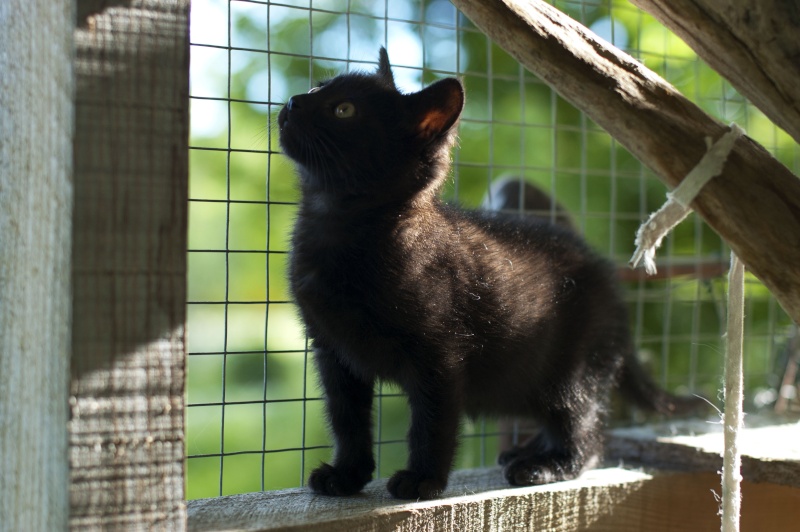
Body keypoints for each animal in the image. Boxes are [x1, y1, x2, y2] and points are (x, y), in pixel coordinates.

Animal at [276, 47, 700, 500]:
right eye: (319, 88)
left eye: (344, 110)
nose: (293, 102)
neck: (337, 225)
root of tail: (607, 277)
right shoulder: (333, 352)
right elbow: (347, 420)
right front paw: (347, 475)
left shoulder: (439, 355)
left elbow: (431, 422)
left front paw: (422, 480)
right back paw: (527, 451)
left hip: (575, 368)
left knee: (585, 433)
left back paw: (544, 466)